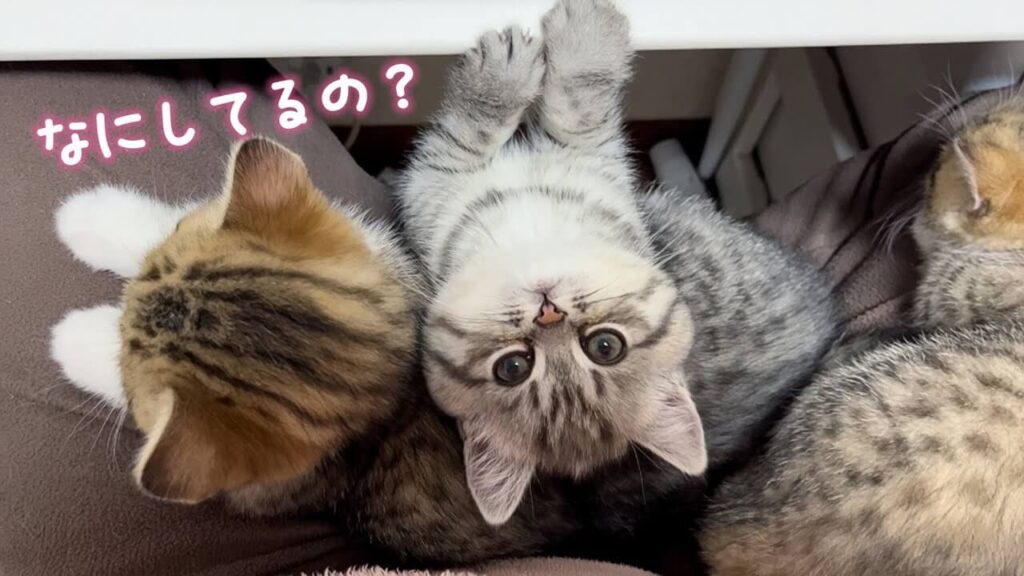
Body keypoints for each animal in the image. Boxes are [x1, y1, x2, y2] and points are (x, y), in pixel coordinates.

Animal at [398, 0, 837, 531]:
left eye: (605, 346)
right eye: (513, 367)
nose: (548, 311)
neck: (532, 228)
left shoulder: (588, 159)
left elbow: (572, 108)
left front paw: (583, 38)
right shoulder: (431, 194)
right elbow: (482, 129)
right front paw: (504, 78)